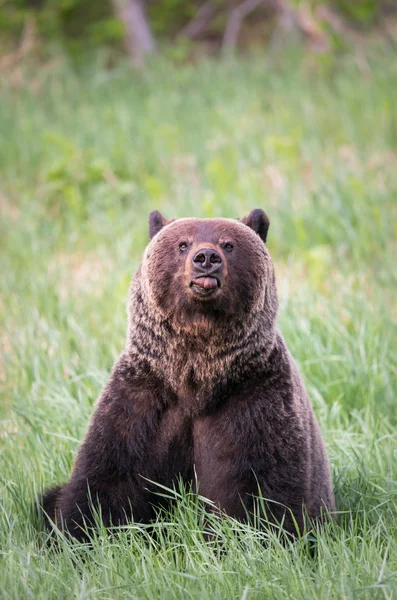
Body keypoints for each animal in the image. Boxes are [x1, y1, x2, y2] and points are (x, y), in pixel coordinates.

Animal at [41, 210, 334, 540]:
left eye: (228, 244)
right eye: (183, 244)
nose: (206, 257)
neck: (196, 377)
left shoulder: (254, 397)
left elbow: (262, 487)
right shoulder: (143, 399)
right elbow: (107, 477)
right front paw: (79, 534)